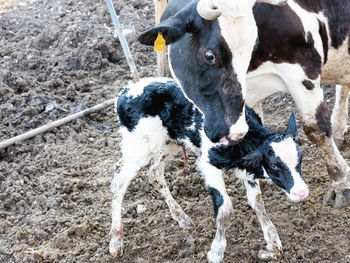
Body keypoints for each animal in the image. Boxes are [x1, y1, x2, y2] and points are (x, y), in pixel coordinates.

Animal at [108, 78, 308, 262]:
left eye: (300, 158)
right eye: (274, 165)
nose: (301, 192)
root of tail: (126, 90)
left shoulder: (248, 167)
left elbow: (257, 201)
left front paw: (272, 240)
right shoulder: (207, 163)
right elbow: (225, 207)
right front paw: (216, 251)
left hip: (169, 143)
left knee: (154, 172)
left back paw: (181, 216)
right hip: (140, 146)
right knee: (119, 182)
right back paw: (116, 240)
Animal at [138, 0, 350, 210]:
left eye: (251, 49)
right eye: (210, 55)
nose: (234, 132)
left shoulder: (303, 69)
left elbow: (317, 129)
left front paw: (341, 185)